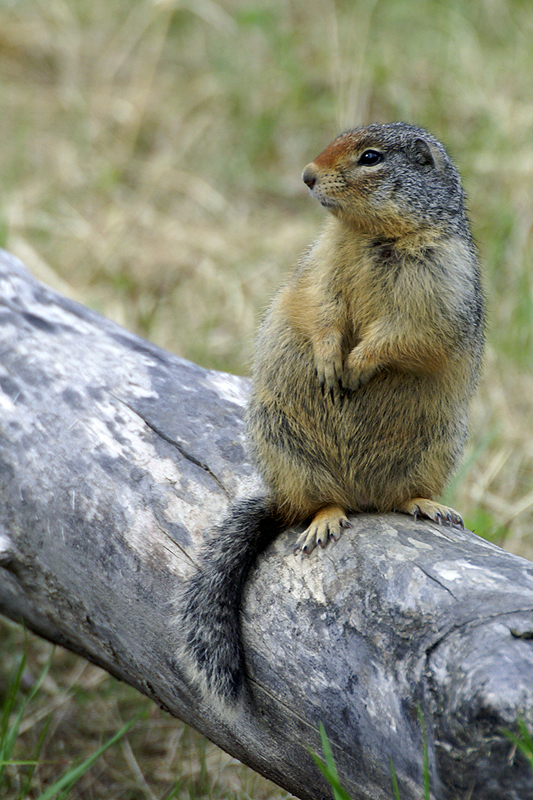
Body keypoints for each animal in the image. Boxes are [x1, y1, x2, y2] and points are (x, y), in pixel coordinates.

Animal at [181, 122, 484, 704]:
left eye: (370, 157)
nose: (306, 175)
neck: (370, 237)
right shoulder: (320, 263)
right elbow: (318, 307)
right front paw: (329, 363)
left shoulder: (441, 281)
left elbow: (408, 333)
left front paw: (357, 366)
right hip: (287, 450)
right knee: (321, 503)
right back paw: (324, 520)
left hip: (433, 450)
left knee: (396, 497)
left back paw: (427, 506)